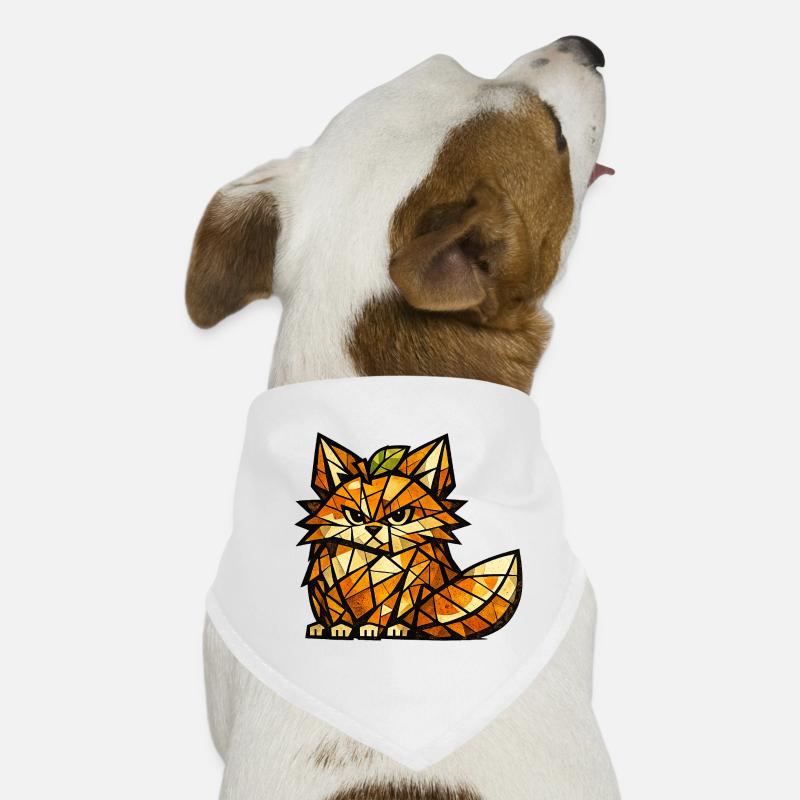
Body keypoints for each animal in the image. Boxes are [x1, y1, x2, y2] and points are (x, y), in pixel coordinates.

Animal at [296, 433, 522, 640]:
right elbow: (337, 609)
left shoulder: (407, 583)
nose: (373, 528)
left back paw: (398, 629)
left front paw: (371, 627)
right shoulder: (325, 581)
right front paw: (340, 627)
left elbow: (383, 611)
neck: (369, 559)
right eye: (356, 516)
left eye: (398, 516)